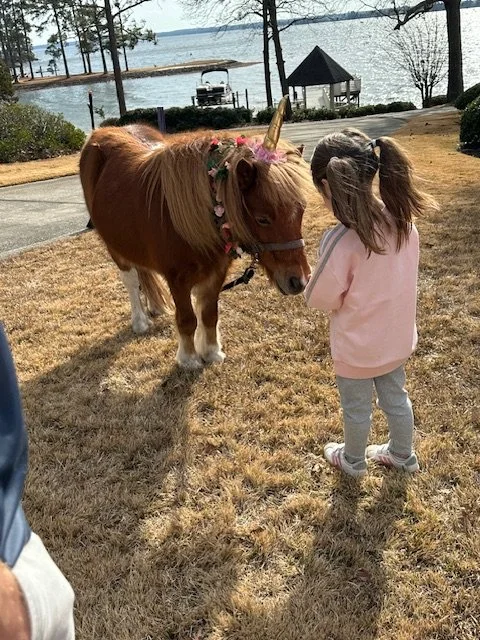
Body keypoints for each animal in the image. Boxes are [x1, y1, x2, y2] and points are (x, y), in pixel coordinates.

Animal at [79, 99, 313, 369]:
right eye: (262, 218)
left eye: (301, 210)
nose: (300, 281)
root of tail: (103, 131)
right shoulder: (178, 280)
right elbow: (187, 319)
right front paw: (189, 359)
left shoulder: (216, 273)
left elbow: (209, 314)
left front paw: (211, 352)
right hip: (114, 246)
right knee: (130, 279)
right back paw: (139, 321)